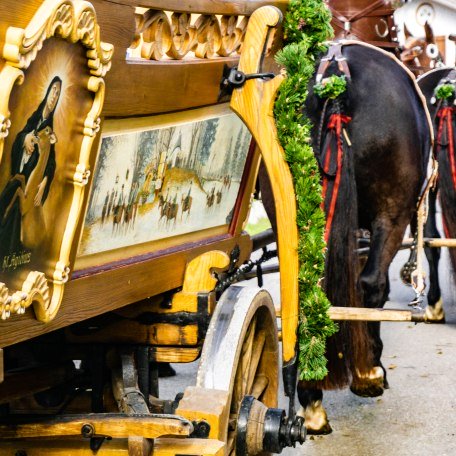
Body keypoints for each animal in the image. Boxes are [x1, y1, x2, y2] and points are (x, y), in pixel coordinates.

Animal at [260, 43, 432, 434]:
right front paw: (371, 366)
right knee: (371, 285)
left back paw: (310, 394)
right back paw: (367, 372)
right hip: (392, 212)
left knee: (304, 292)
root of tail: (336, 74)